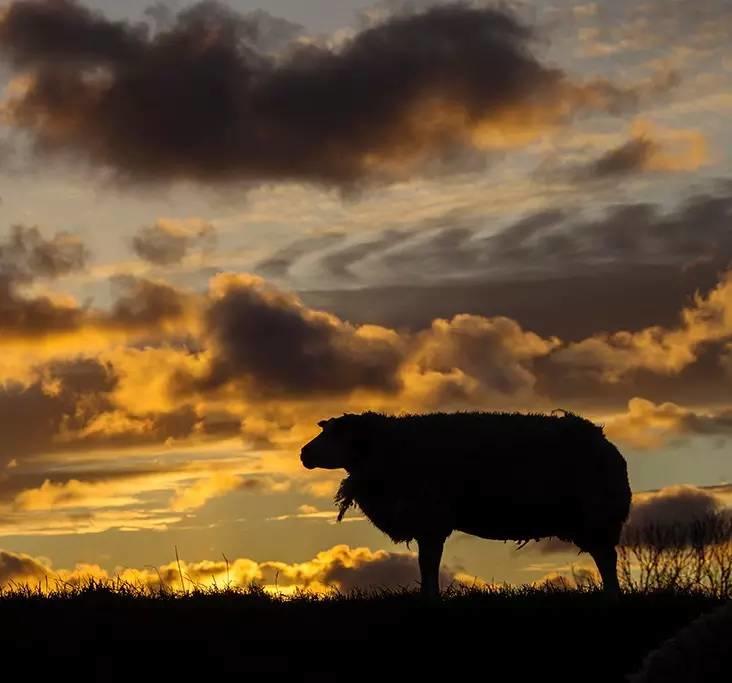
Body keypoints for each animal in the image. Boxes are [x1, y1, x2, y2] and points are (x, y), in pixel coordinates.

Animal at [300, 408, 632, 596]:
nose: (303, 454)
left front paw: (430, 598)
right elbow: (427, 563)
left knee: (607, 559)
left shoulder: (431, 519)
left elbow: (428, 564)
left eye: (334, 435)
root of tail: (605, 441)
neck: (384, 449)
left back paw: (612, 595)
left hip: (597, 515)